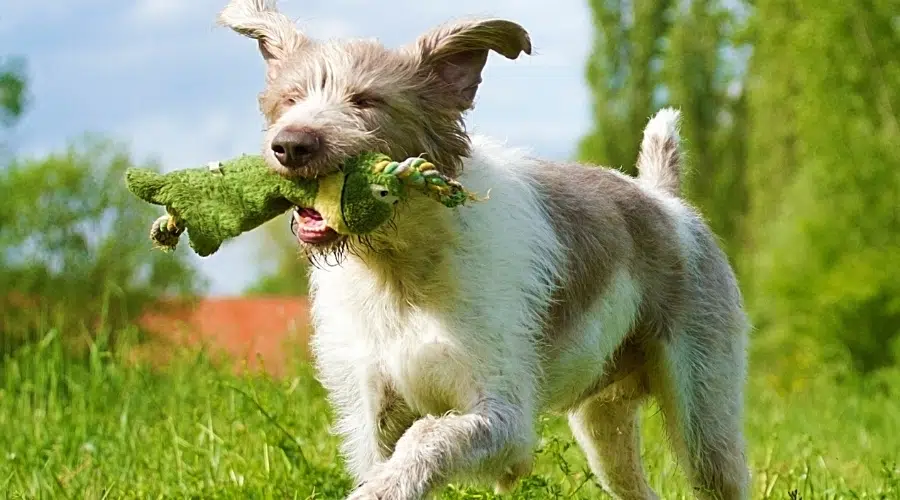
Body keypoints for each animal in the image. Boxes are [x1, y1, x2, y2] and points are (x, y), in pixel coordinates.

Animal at [220, 1, 752, 498]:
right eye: (289, 99)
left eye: (366, 100)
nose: (291, 145)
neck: (398, 266)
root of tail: (664, 198)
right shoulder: (372, 410)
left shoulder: (505, 417)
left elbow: (428, 437)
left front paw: (383, 489)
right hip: (603, 425)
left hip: (704, 420)